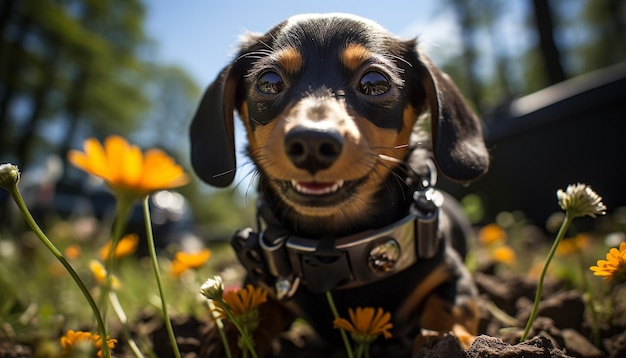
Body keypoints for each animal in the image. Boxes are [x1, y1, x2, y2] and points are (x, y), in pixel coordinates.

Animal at [189, 12, 488, 356]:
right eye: (269, 81)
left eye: (374, 83)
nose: (312, 143)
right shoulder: (261, 286)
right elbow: (248, 316)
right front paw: (222, 342)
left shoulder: (452, 276)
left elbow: (450, 309)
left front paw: (449, 341)